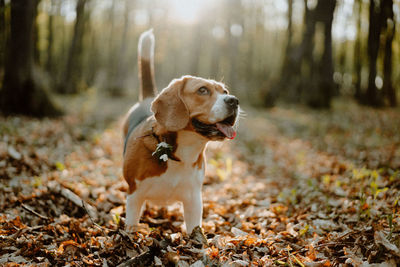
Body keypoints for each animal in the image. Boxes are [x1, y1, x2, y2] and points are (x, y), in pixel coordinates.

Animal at [122, 29, 239, 234]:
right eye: (202, 90)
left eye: (225, 91)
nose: (234, 101)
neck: (180, 153)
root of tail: (148, 98)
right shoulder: (134, 195)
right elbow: (131, 226)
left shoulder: (194, 201)